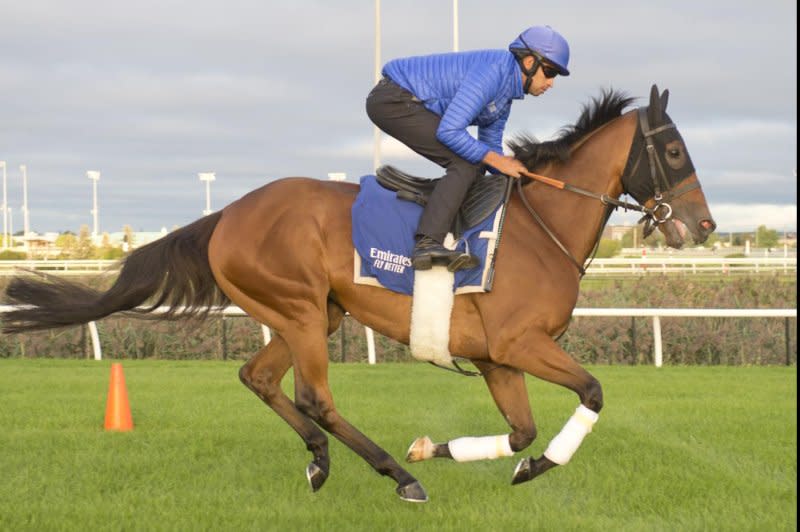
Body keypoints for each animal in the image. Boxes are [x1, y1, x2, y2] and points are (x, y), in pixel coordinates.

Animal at [1, 83, 720, 502]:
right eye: (675, 152)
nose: (704, 227)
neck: (541, 227)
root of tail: (227, 213)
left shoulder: (496, 357)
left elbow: (520, 432)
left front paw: (453, 450)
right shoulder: (521, 343)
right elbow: (591, 393)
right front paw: (489, 463)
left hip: (312, 314)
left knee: (260, 378)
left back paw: (323, 461)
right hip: (296, 306)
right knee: (315, 397)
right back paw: (399, 476)